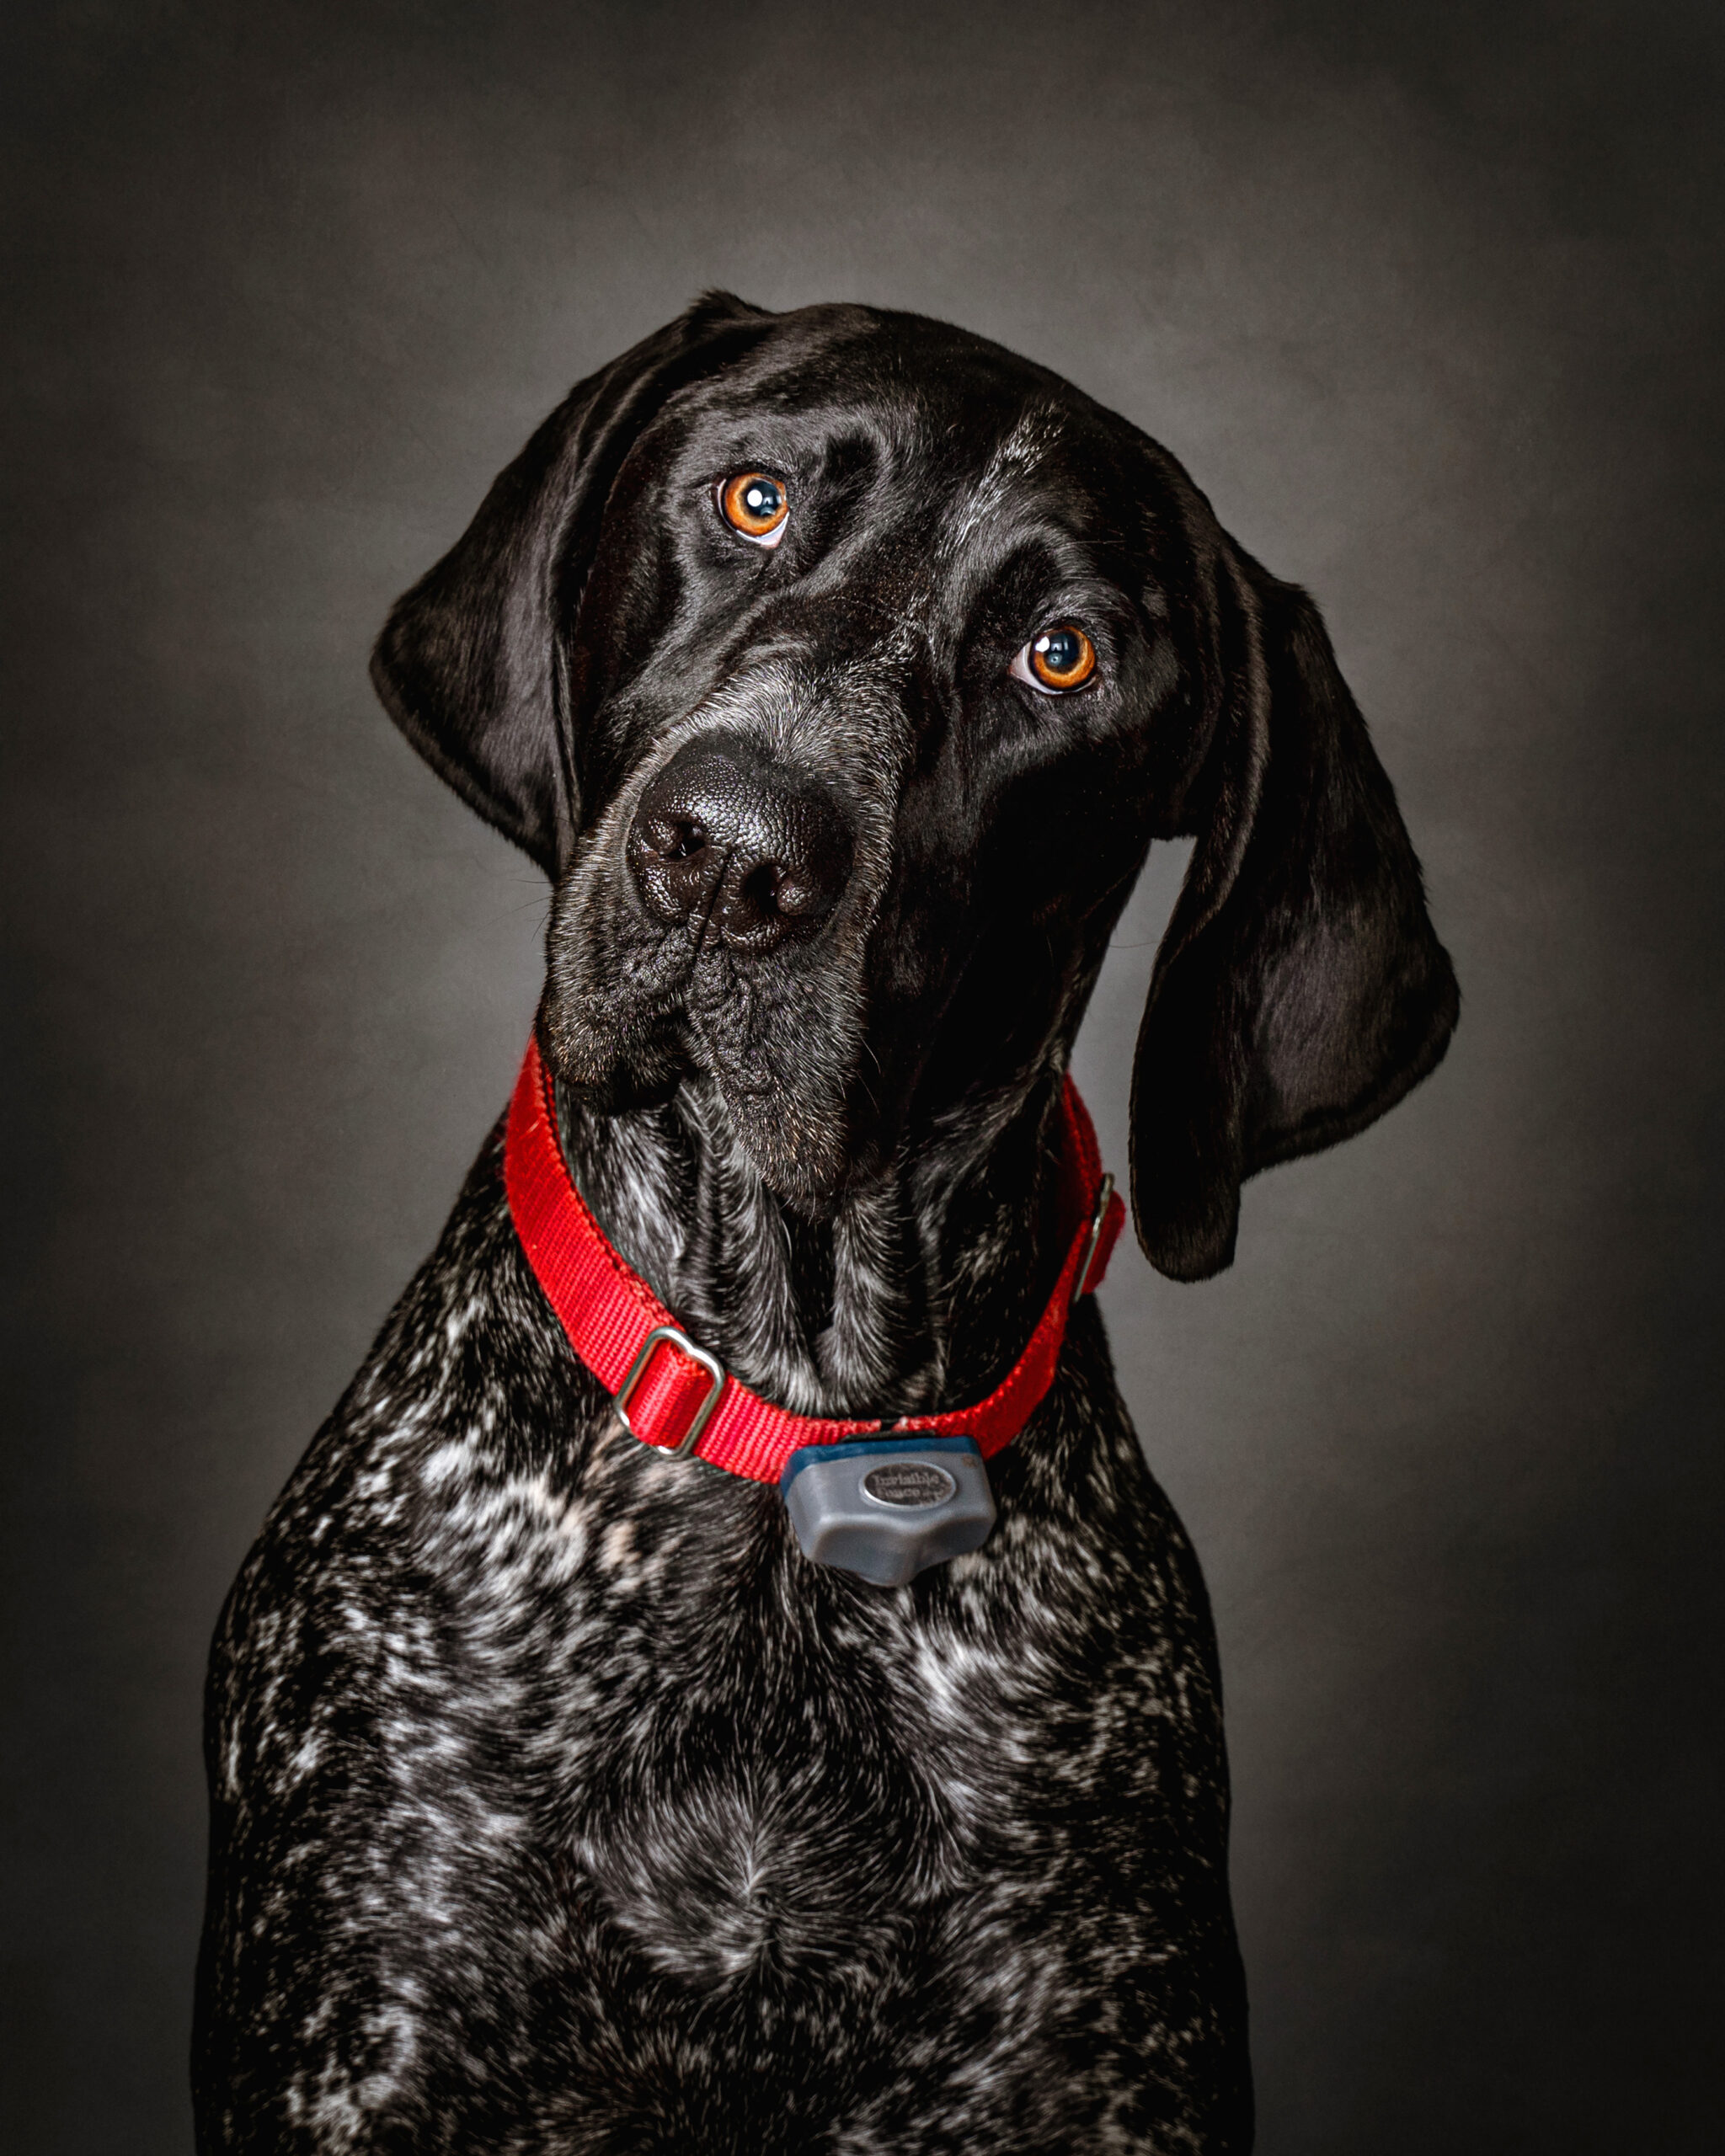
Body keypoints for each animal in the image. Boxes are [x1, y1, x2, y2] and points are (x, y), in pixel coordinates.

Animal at [191, 295, 1457, 2147]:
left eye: (1061, 655)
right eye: (756, 501)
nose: (728, 856)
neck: (788, 1425)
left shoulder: (1096, 2052)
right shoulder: (363, 2032)